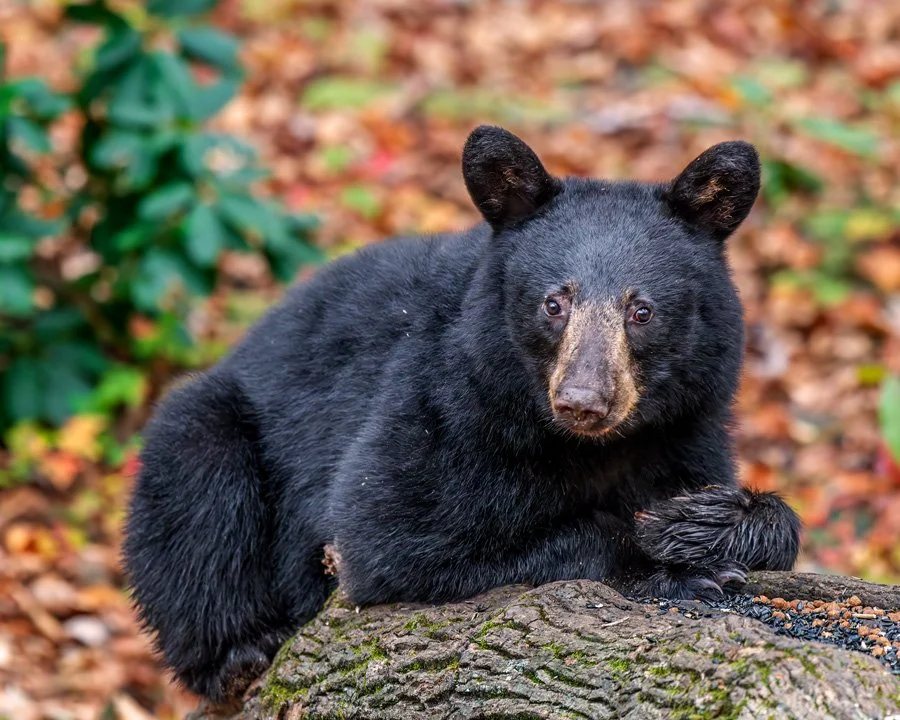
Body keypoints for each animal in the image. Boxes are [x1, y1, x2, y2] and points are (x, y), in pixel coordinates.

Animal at [123, 125, 802, 703]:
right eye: (554, 302)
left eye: (642, 310)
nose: (583, 401)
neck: (590, 446)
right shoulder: (444, 405)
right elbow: (390, 528)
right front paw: (669, 565)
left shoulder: (686, 428)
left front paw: (703, 522)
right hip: (213, 427)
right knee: (198, 495)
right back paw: (239, 651)